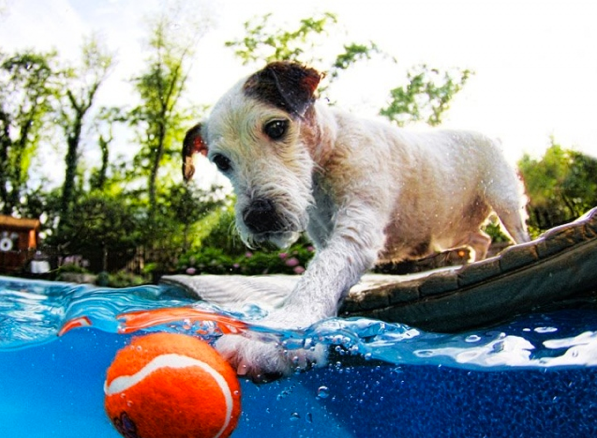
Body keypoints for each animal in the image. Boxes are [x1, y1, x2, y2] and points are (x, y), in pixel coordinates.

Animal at [182, 61, 528, 380]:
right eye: (221, 161)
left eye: (277, 127)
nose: (259, 217)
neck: (329, 154)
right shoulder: (325, 237)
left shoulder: (356, 229)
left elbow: (319, 275)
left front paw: (275, 335)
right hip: (454, 230)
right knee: (481, 239)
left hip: (504, 199)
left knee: (515, 230)